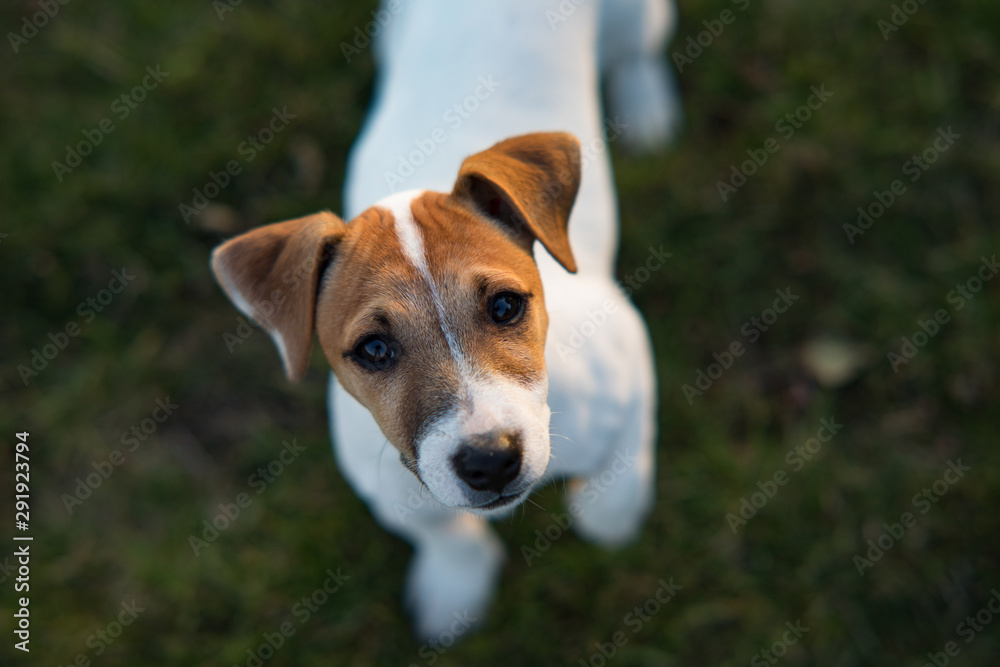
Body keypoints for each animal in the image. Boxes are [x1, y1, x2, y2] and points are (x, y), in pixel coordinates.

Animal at [212, 0, 680, 636]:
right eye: (374, 349)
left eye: (505, 306)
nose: (491, 461)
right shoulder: (387, 486)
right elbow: (443, 533)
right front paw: (454, 589)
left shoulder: (626, 358)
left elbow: (623, 474)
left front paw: (609, 519)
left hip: (638, 18)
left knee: (636, 52)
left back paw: (647, 108)